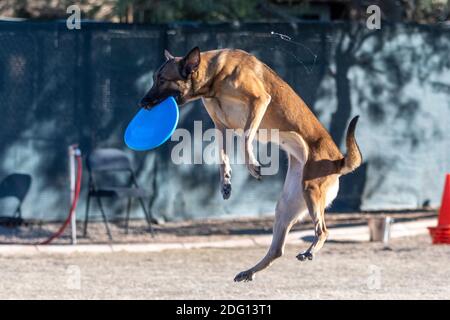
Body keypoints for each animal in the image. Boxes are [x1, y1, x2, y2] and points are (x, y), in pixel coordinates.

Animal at [141, 46, 362, 282]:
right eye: (155, 78)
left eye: (162, 80)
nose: (141, 102)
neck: (215, 78)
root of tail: (338, 161)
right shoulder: (221, 127)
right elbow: (223, 158)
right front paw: (226, 183)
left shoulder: (259, 101)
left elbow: (247, 137)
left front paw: (253, 165)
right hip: (287, 203)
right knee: (277, 250)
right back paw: (249, 271)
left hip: (310, 189)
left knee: (323, 230)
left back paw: (309, 250)